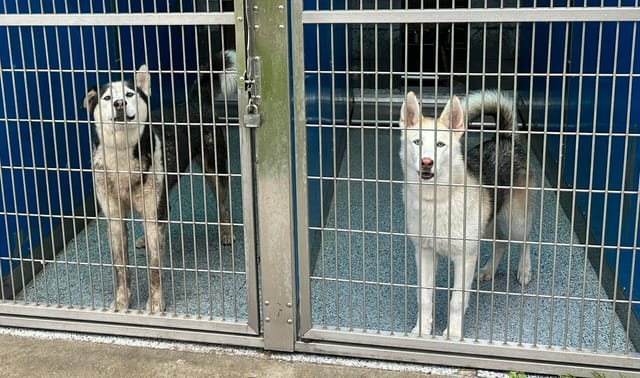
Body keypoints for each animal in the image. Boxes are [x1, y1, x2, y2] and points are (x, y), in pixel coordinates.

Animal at [82, 51, 238, 314]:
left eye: (129, 94)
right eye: (106, 98)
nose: (119, 104)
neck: (123, 156)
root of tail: (193, 100)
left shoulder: (155, 214)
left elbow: (155, 268)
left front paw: (155, 304)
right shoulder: (114, 217)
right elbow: (120, 268)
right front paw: (122, 302)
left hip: (214, 168)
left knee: (224, 204)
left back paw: (226, 232)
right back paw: (143, 239)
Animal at [400, 90, 536, 338]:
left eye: (440, 144)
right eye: (417, 142)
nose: (427, 162)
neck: (437, 200)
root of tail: (505, 138)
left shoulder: (465, 258)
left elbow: (456, 301)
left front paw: (453, 334)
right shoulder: (424, 253)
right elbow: (424, 296)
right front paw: (422, 330)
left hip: (516, 220)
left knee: (525, 240)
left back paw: (524, 270)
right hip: (489, 220)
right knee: (501, 241)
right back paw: (489, 270)